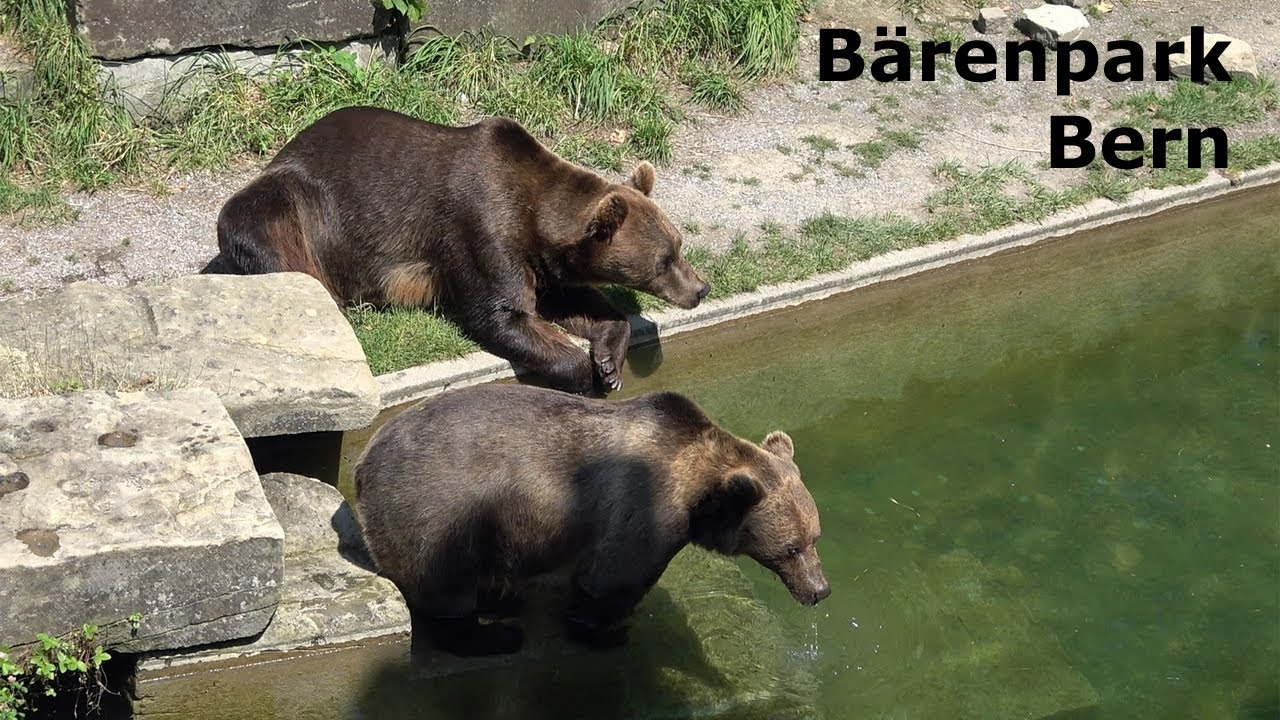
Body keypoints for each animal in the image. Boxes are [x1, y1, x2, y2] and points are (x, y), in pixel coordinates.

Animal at [206, 106, 710, 396]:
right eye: (665, 260)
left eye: (679, 244)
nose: (700, 288)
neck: (534, 217)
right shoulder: (479, 229)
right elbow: (501, 314)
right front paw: (582, 374)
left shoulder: (544, 263)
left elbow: (572, 301)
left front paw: (608, 363)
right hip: (298, 203)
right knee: (264, 230)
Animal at [352, 382, 830, 658]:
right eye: (791, 548)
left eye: (815, 537)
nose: (820, 590)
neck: (694, 489)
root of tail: (363, 462)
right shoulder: (640, 510)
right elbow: (610, 581)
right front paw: (606, 632)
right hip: (438, 511)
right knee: (442, 588)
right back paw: (494, 636)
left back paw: (504, 601)